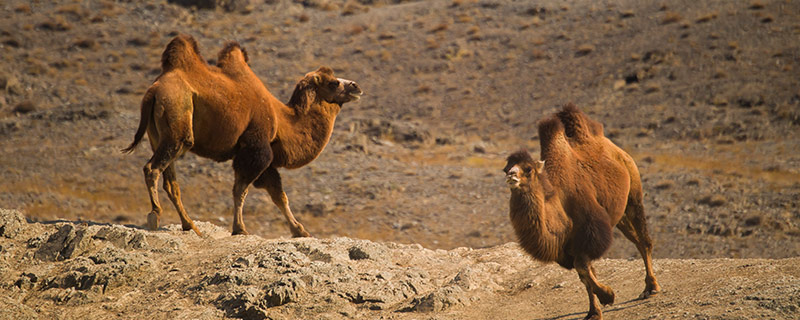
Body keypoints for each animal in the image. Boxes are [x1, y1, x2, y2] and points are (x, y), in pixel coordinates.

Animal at [121, 33, 362, 236]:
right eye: (333, 83)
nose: (356, 86)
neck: (283, 120)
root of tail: (153, 91)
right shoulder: (256, 148)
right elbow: (241, 190)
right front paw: (240, 229)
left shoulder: (265, 157)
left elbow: (279, 195)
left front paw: (300, 231)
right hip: (177, 118)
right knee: (153, 168)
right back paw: (155, 216)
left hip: (159, 135)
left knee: (170, 181)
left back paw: (190, 226)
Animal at [504, 104, 660, 320]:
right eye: (506, 168)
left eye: (528, 169)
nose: (511, 176)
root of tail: (617, 149)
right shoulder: (568, 247)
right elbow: (585, 275)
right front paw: (594, 311)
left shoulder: (589, 233)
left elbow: (582, 267)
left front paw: (608, 295)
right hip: (618, 215)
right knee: (636, 239)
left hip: (634, 195)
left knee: (644, 240)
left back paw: (651, 288)